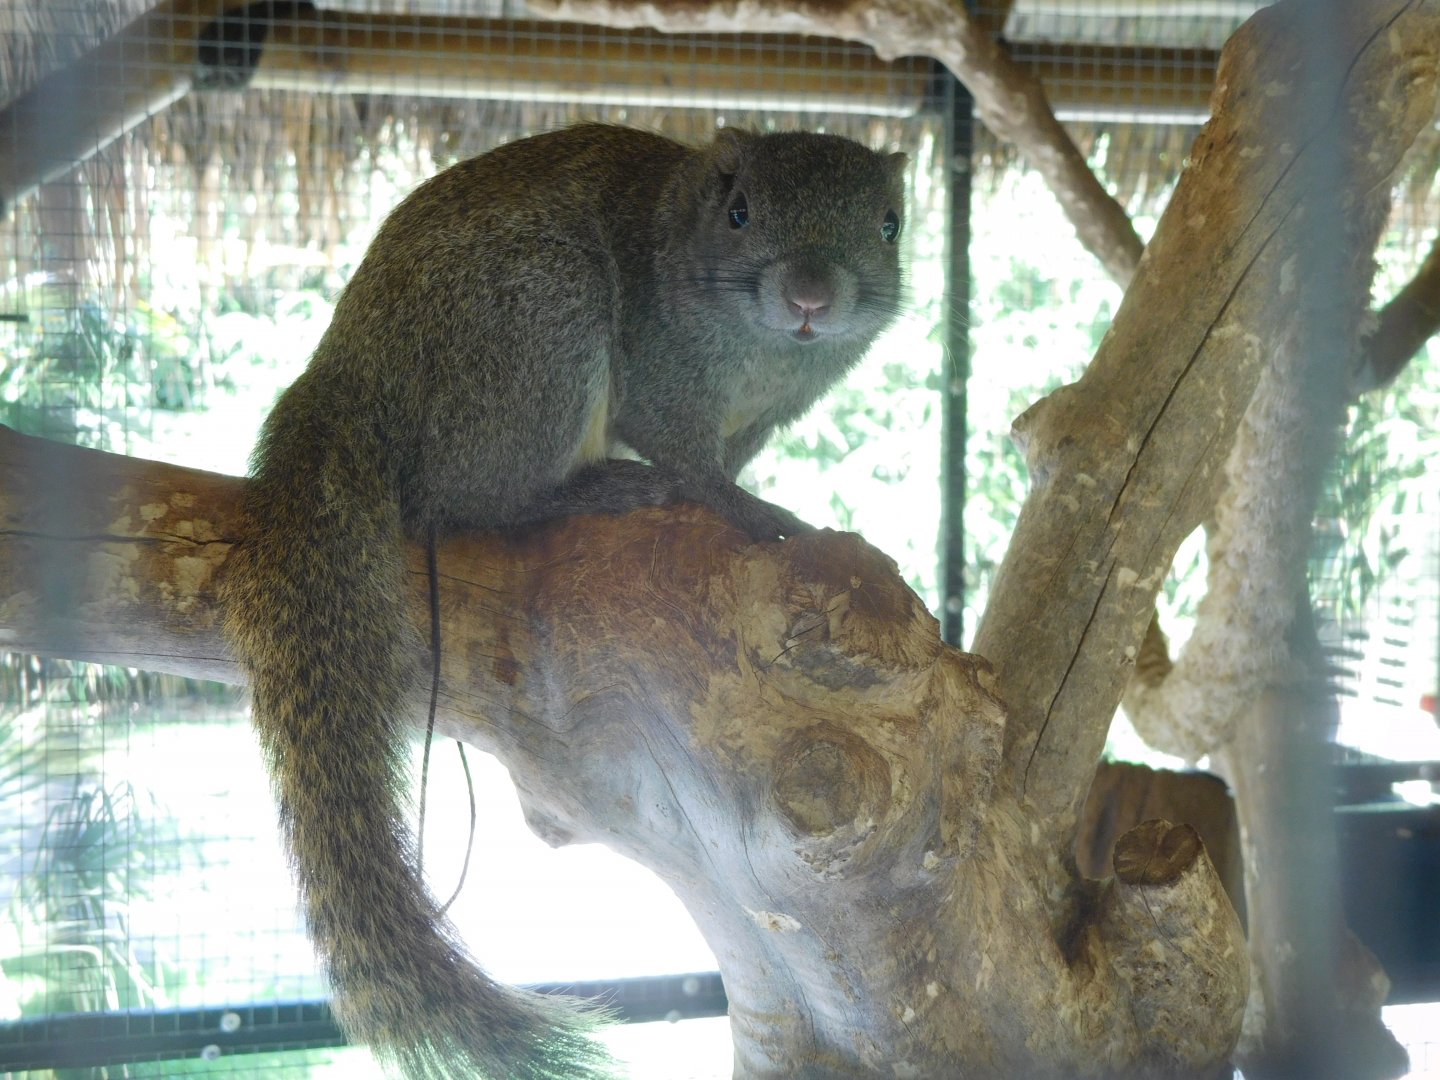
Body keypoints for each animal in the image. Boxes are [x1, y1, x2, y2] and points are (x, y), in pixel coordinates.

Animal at [220, 122, 906, 1079]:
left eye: (888, 225)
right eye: (739, 213)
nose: (811, 294)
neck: (769, 352)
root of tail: (346, 378)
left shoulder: (777, 410)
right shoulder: (663, 373)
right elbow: (690, 464)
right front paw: (755, 514)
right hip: (535, 320)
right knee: (465, 502)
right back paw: (589, 491)